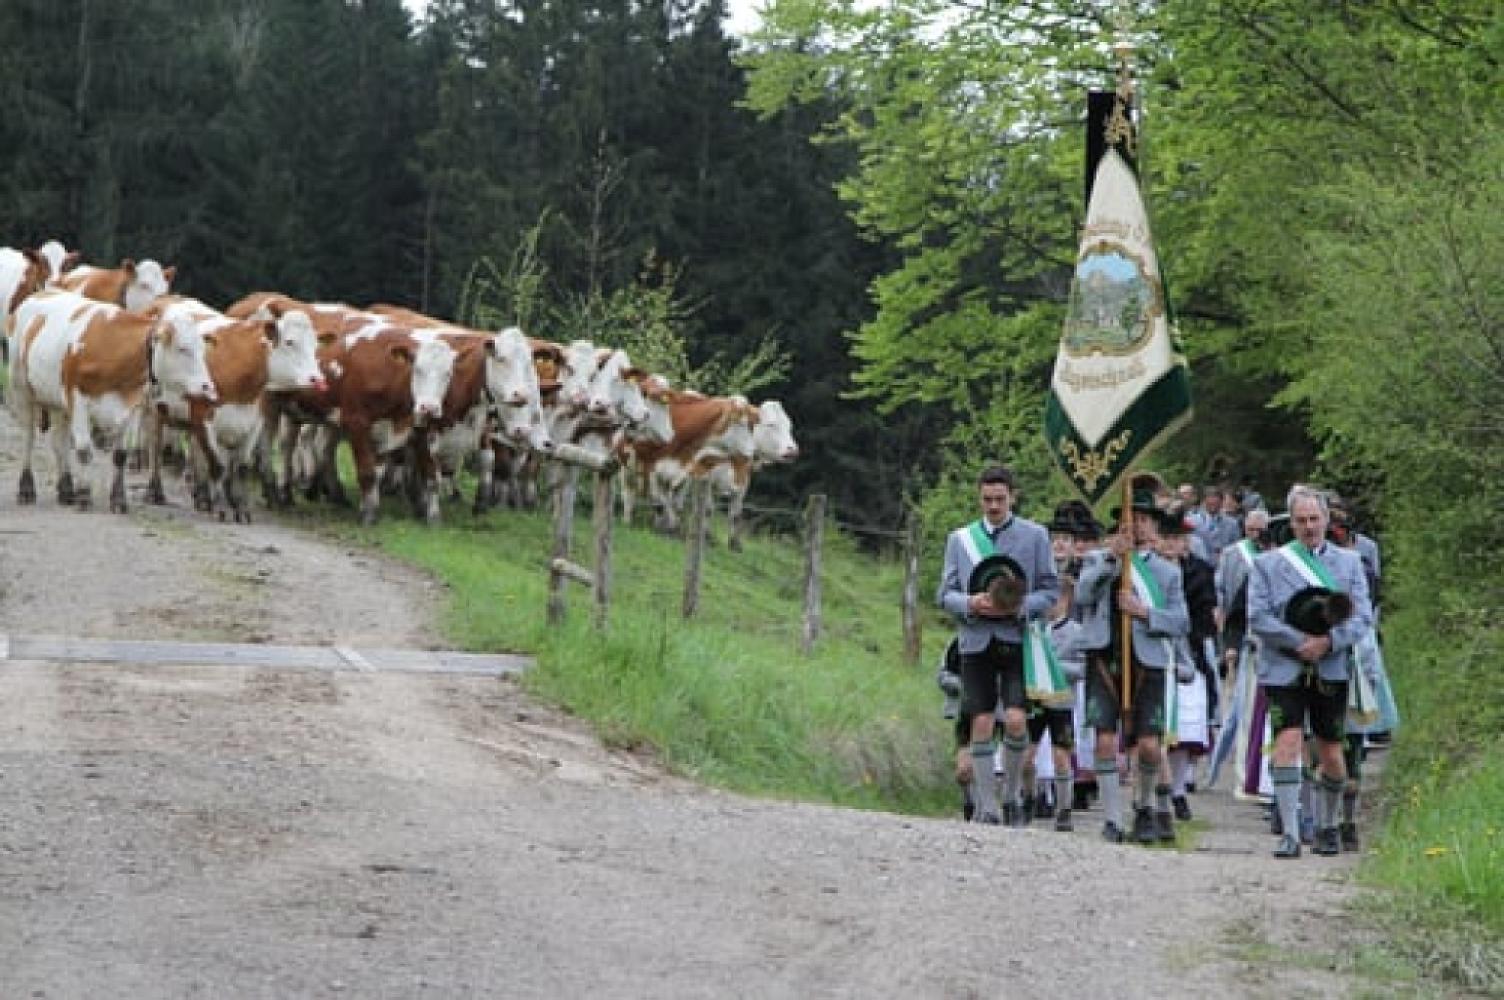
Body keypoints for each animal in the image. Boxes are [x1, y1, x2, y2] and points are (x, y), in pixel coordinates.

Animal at [9, 288, 215, 512]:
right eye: (182, 349)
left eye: (203, 350)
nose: (208, 387)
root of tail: (43, 292)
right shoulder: (77, 400)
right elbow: (84, 450)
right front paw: (84, 495)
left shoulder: (131, 406)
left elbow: (121, 455)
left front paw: (118, 499)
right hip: (22, 390)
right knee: (29, 438)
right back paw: (26, 489)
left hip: (56, 401)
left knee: (59, 442)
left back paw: (66, 489)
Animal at [621, 390, 758, 535]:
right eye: (742, 424)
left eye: (752, 426)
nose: (753, 453)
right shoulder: (651, 467)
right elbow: (659, 503)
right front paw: (663, 529)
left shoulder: (684, 473)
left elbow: (675, 505)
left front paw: (672, 528)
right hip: (628, 466)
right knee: (628, 491)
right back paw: (628, 521)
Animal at [705, 398, 799, 550]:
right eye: (771, 424)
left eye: (789, 426)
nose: (793, 450)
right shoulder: (707, 478)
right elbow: (707, 509)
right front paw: (707, 538)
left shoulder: (743, 482)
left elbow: (736, 514)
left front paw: (734, 544)